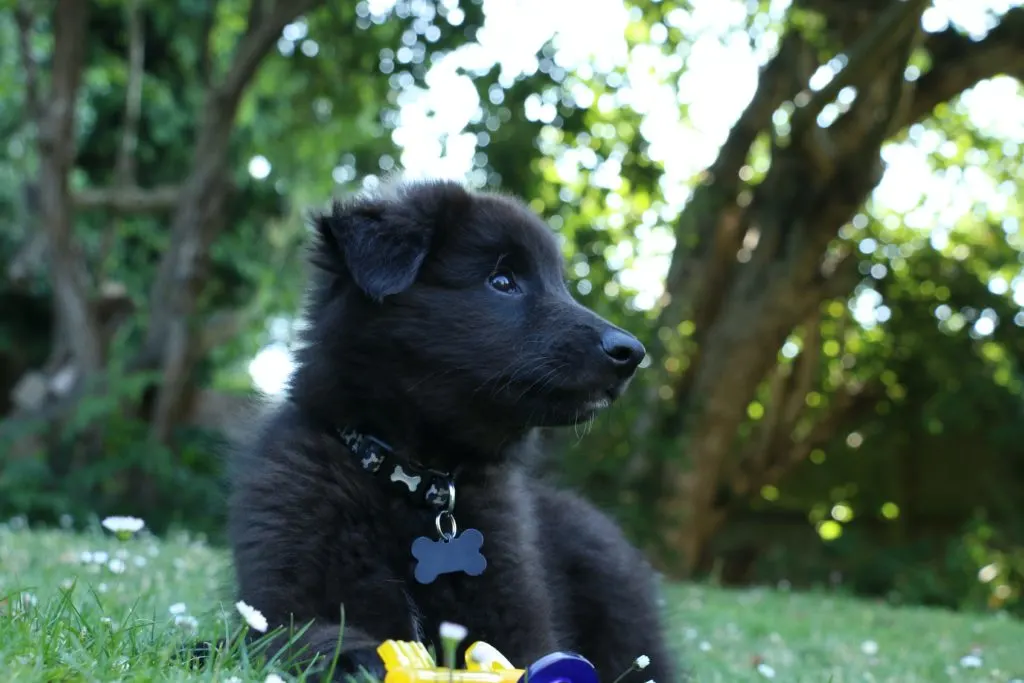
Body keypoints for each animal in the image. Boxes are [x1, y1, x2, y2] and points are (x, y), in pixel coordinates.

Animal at [227, 179, 675, 679]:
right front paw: (363, 658)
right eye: (502, 281)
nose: (632, 353)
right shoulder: (286, 603)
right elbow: (314, 639)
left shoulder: (523, 625)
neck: (418, 484)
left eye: (560, 283)